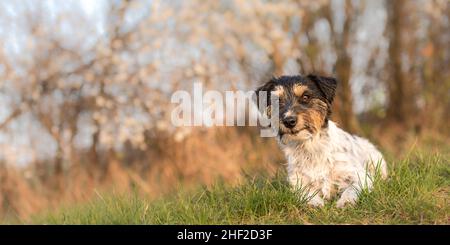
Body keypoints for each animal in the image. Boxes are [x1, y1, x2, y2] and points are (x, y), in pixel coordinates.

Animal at [256, 74, 386, 207]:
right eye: (277, 101)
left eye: (306, 97)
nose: (289, 121)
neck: (310, 147)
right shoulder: (297, 182)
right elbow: (304, 193)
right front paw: (314, 202)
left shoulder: (359, 175)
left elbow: (352, 188)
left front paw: (346, 201)